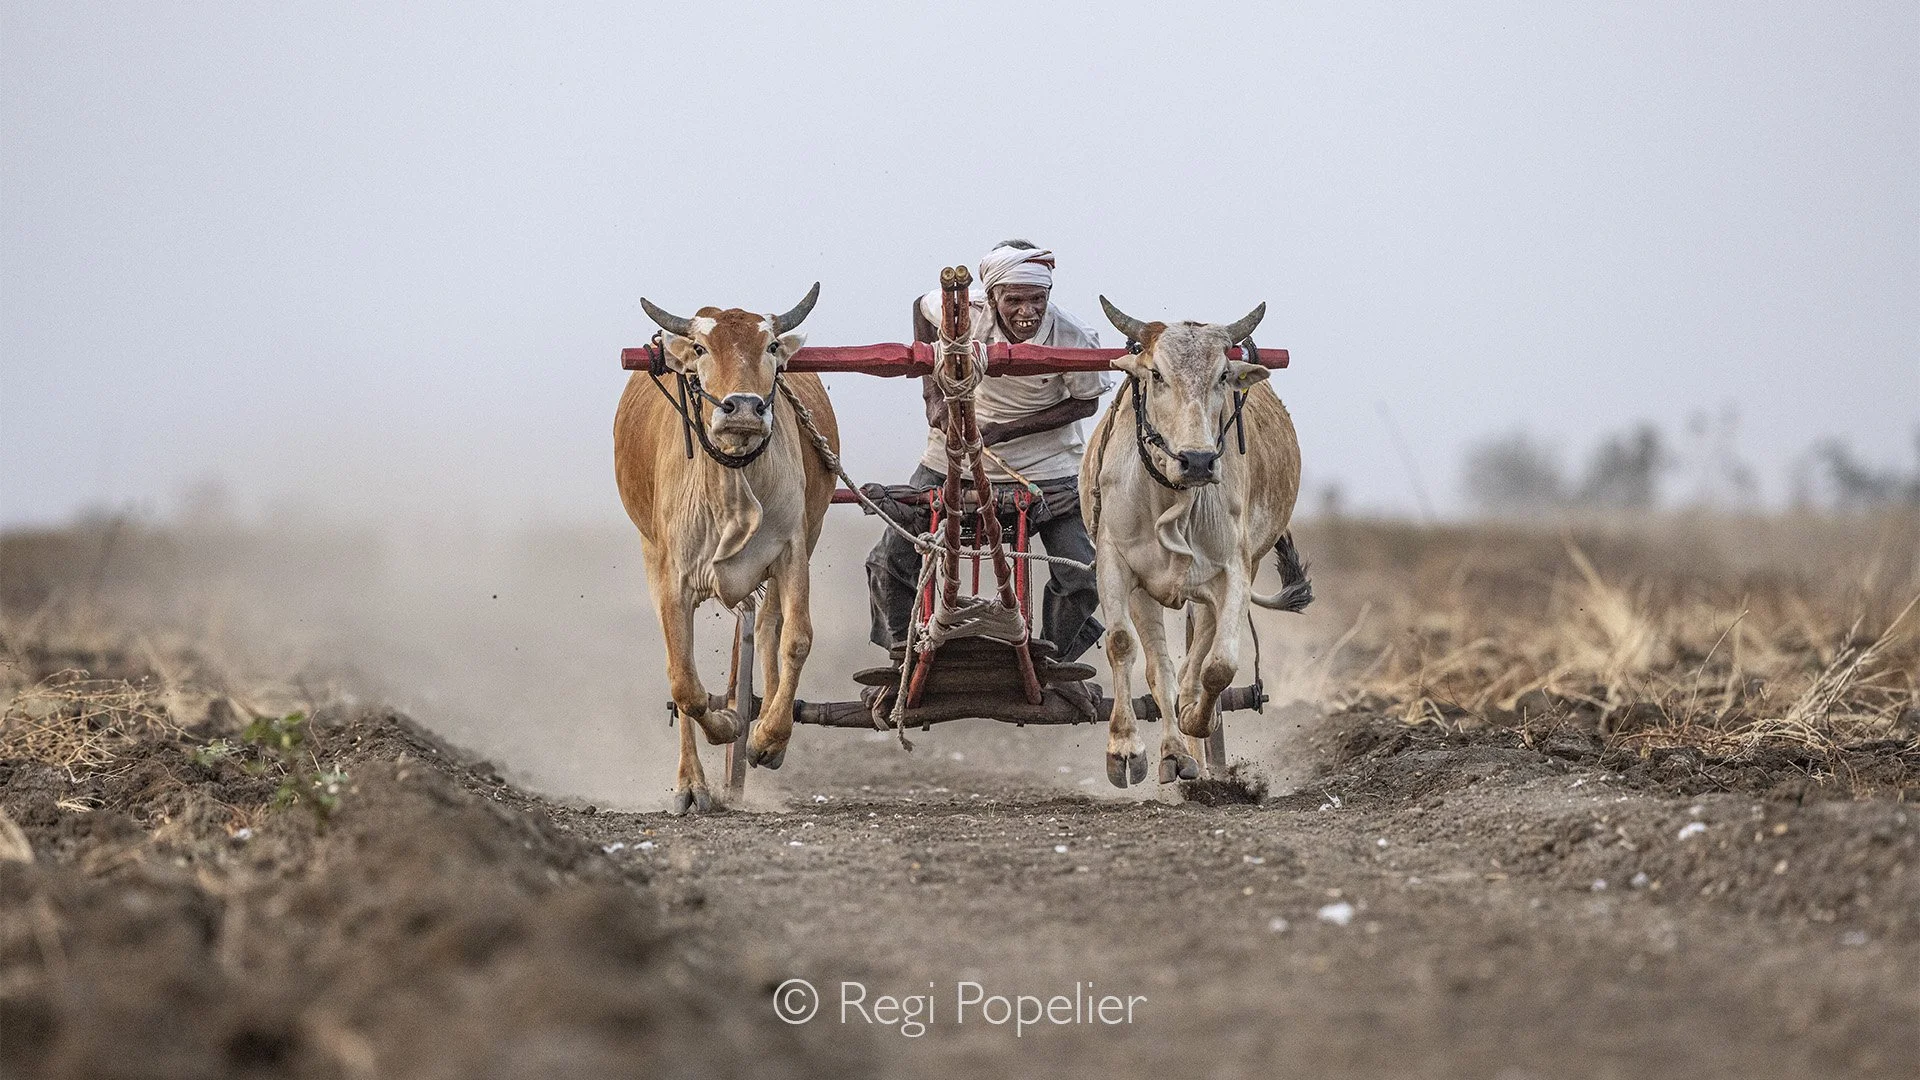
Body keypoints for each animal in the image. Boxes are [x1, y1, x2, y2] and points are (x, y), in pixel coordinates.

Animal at [615, 285, 839, 813]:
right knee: (683, 672)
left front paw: (768, 738)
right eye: (701, 349)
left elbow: (796, 639)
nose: (743, 408)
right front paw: (722, 735)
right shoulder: (673, 577)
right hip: (650, 553)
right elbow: (685, 683)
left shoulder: (793, 551)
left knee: (772, 627)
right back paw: (694, 782)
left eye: (771, 346)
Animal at [1081, 297, 1313, 788]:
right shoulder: (1114, 563)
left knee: (1195, 657)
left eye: (1222, 375)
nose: (1199, 460)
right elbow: (1122, 645)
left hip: (1226, 578)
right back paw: (1171, 751)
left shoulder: (1233, 572)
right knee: (1159, 666)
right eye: (1156, 374)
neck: (1171, 498)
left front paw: (1196, 719)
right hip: (1146, 592)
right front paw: (1124, 749)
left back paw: (1186, 733)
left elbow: (1219, 666)